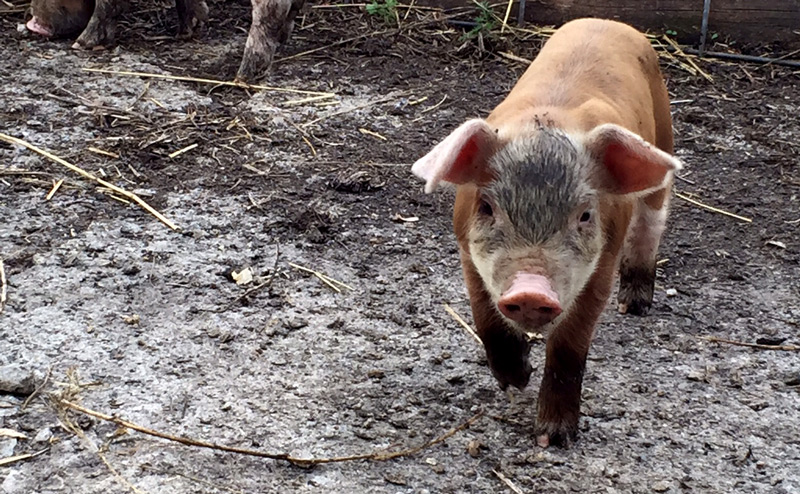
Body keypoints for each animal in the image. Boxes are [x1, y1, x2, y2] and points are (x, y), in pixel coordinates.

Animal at [412, 18, 681, 446]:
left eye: (585, 215)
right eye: (487, 208)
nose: (531, 289)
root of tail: (608, 22)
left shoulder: (602, 263)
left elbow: (570, 345)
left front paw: (553, 438)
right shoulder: (467, 249)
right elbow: (485, 317)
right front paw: (515, 381)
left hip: (663, 135)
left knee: (652, 221)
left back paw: (634, 305)